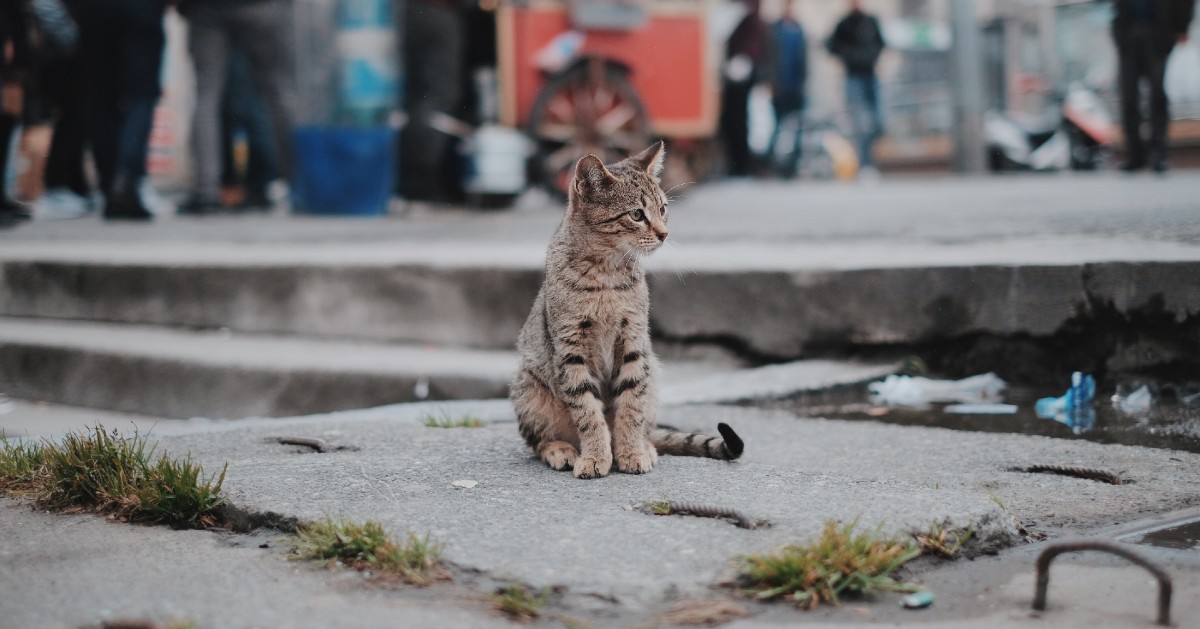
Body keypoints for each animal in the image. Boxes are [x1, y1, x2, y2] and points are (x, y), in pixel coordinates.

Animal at [513, 141, 744, 477]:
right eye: (637, 214)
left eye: (663, 209)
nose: (664, 234)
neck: (606, 275)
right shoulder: (570, 351)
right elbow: (587, 412)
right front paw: (595, 456)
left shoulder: (634, 341)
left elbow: (631, 405)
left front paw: (631, 451)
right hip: (528, 388)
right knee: (538, 438)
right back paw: (560, 449)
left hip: (653, 374)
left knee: (647, 422)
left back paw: (645, 445)